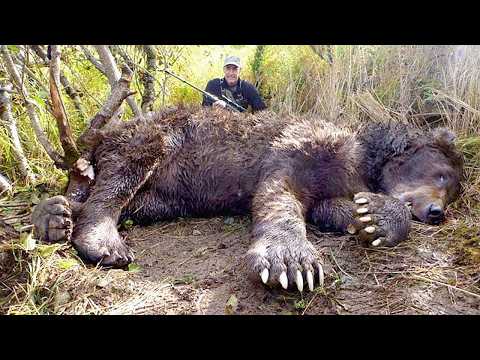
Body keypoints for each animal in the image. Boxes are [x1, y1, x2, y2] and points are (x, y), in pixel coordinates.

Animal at [31, 106, 464, 292]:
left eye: (453, 191)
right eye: (441, 174)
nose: (437, 212)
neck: (359, 157)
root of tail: (101, 137)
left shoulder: (333, 185)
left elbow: (331, 206)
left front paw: (372, 217)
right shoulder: (296, 147)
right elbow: (278, 195)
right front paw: (290, 261)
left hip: (165, 197)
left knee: (131, 200)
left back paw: (53, 216)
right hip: (152, 136)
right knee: (120, 178)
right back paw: (98, 239)